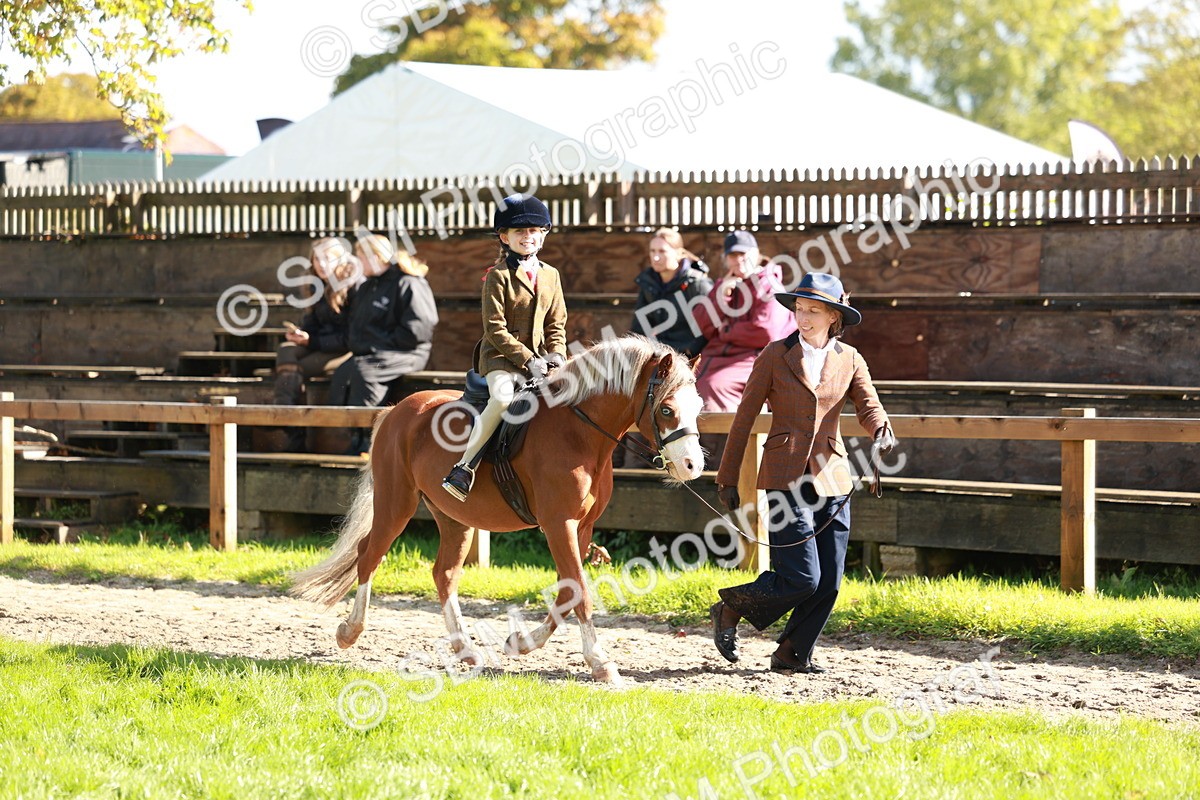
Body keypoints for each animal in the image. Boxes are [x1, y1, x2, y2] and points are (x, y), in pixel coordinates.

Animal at [290, 335, 706, 684]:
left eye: (699, 407)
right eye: (666, 410)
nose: (692, 466)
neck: (579, 431)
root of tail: (397, 409)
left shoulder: (580, 527)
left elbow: (567, 593)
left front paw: (521, 643)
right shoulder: (559, 524)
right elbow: (578, 591)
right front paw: (601, 662)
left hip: (454, 518)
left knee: (443, 574)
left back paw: (466, 649)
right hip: (396, 503)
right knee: (369, 556)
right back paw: (350, 632)